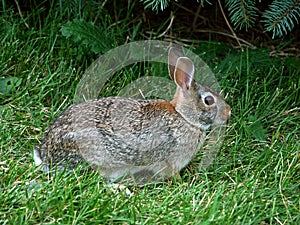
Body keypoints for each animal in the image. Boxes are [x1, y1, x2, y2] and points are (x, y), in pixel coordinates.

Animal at [34, 48, 231, 185]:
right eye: (208, 100)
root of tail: (47, 156)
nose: (228, 111)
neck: (183, 117)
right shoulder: (170, 161)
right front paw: (183, 184)